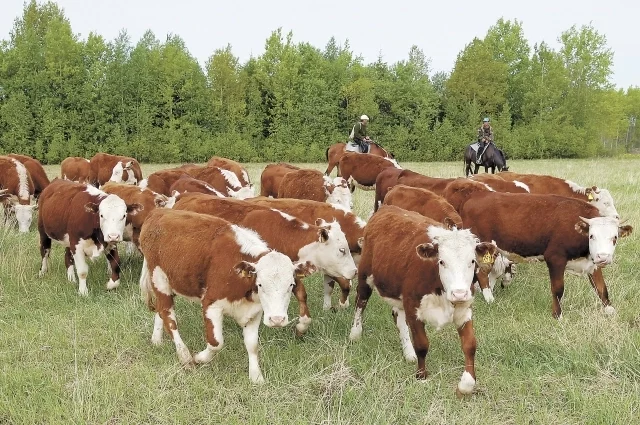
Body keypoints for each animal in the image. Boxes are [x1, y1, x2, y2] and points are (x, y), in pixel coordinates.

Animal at [139, 207, 316, 382]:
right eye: (260, 284)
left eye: (291, 284)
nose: (277, 320)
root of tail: (159, 211)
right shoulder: (211, 304)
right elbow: (216, 342)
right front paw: (200, 358)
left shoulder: (255, 311)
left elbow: (252, 345)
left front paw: (256, 376)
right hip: (159, 278)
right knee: (168, 315)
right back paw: (185, 356)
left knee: (160, 310)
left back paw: (157, 339)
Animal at [350, 204, 496, 396]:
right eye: (441, 261)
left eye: (472, 261)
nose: (458, 293)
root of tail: (387, 208)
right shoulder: (413, 308)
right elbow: (422, 344)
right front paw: (421, 376)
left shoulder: (464, 310)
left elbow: (470, 345)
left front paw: (466, 384)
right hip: (365, 275)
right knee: (360, 302)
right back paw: (355, 333)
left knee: (397, 316)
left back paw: (408, 352)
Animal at [444, 179, 636, 318]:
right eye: (591, 236)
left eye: (614, 238)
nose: (603, 257)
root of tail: (476, 194)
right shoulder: (555, 258)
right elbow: (558, 290)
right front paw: (557, 315)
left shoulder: (592, 263)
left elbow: (602, 288)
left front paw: (610, 310)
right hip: (482, 247)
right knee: (481, 273)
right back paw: (489, 298)